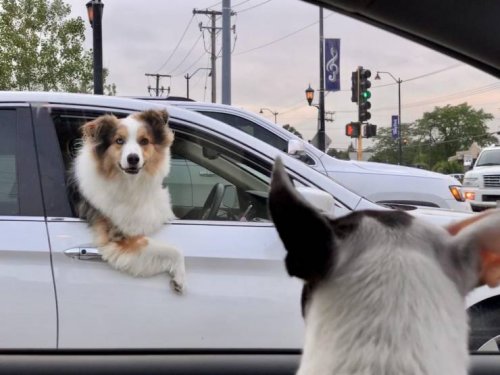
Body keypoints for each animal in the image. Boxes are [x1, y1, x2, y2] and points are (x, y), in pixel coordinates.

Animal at [72, 108, 186, 294]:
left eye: (144, 141)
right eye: (119, 141)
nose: (133, 158)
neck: (130, 183)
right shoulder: (120, 236)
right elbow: (174, 249)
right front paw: (180, 277)